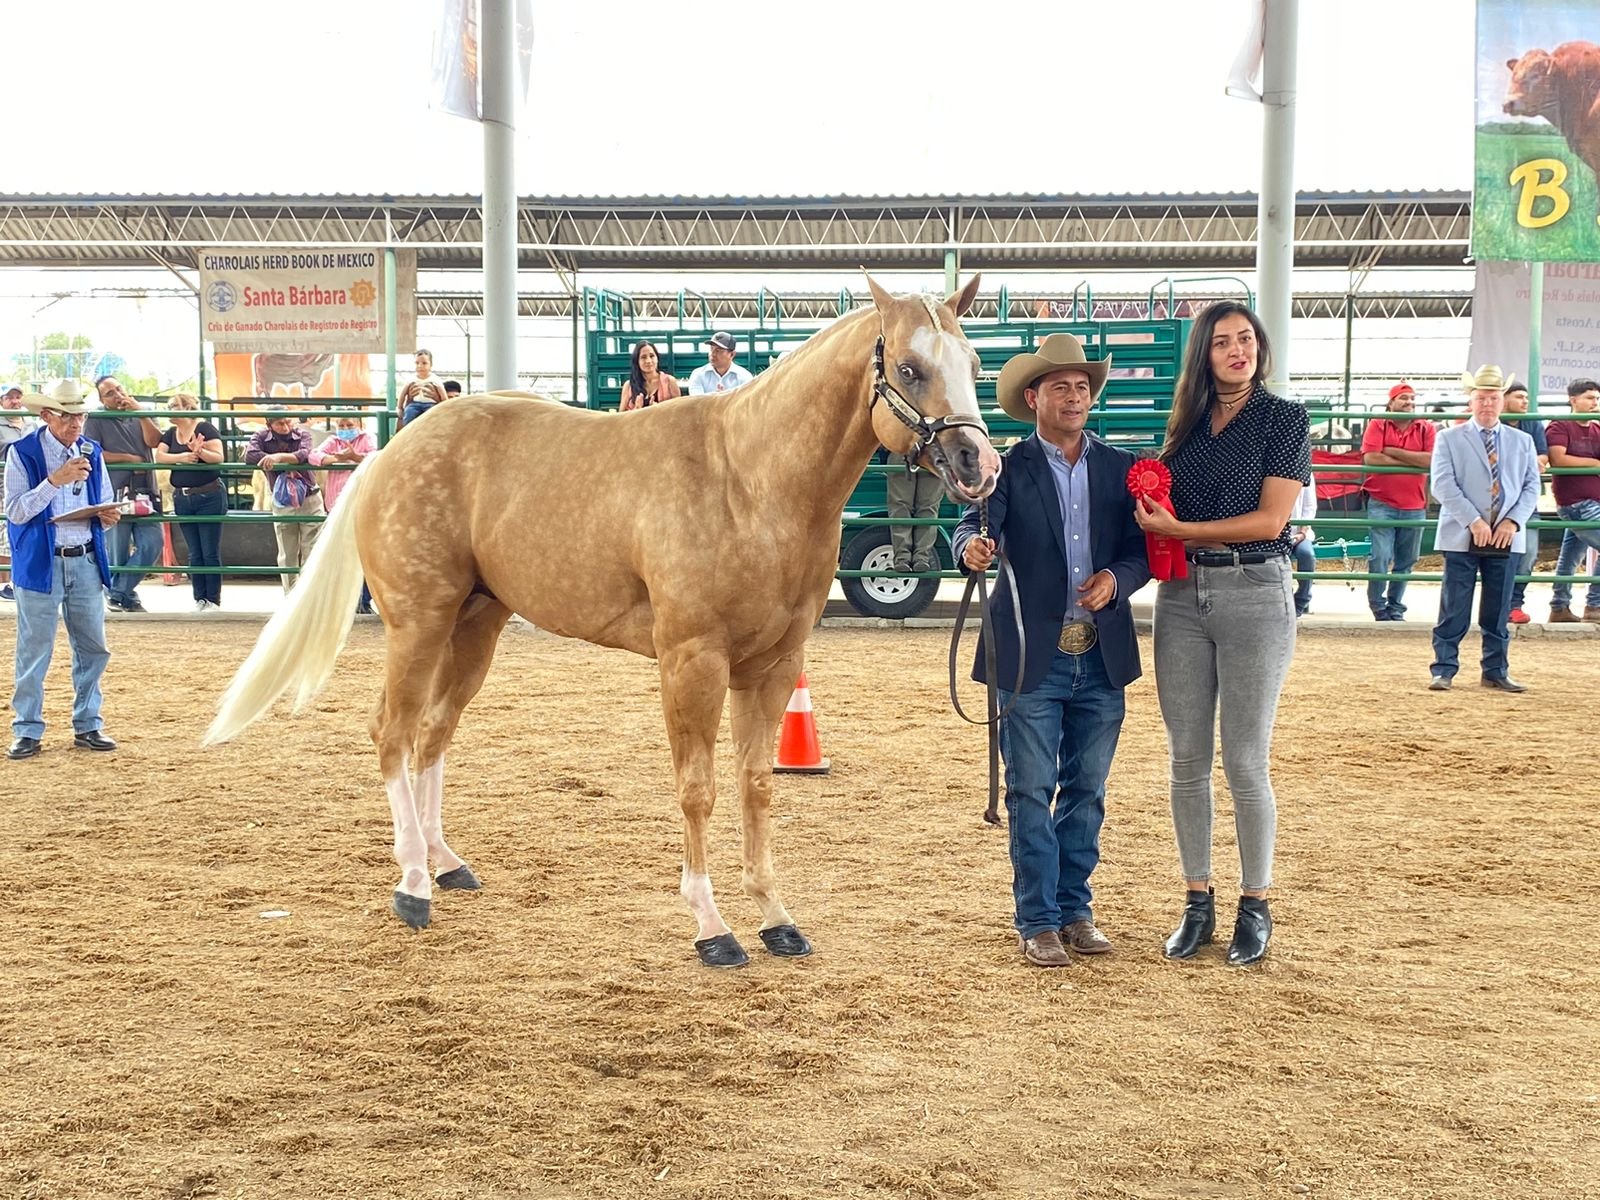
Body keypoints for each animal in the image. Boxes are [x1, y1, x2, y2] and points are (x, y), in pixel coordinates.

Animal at [204, 277, 1001, 967]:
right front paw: (712, 928)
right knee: (392, 733)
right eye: (909, 367)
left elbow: (756, 785)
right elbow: (698, 789)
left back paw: (446, 864)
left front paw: (777, 919)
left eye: (972, 364)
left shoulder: (774, 666)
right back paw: (412, 886)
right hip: (418, 622)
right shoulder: (692, 661)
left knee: (432, 734)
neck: (749, 481)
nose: (979, 464)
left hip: (475, 627)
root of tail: (392, 453)